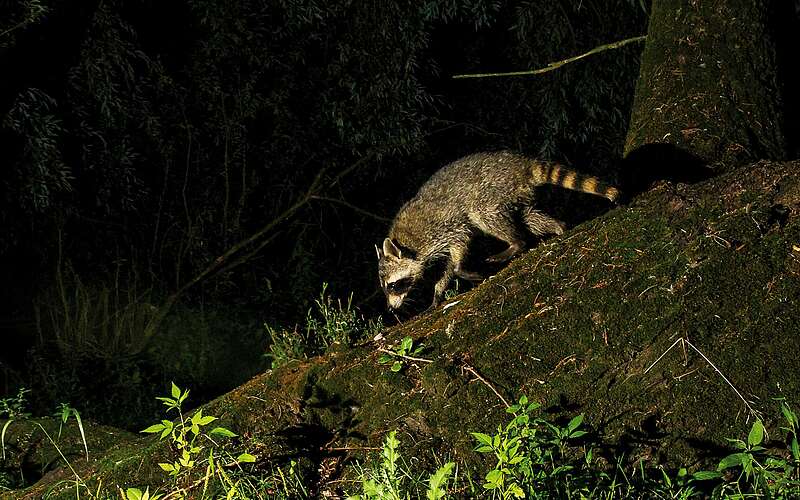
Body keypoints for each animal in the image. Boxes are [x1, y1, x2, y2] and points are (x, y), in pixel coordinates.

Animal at [376, 150, 620, 310]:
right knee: (528, 217)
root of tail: (522, 165)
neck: (407, 243)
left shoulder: (445, 227)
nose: (391, 309)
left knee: (484, 213)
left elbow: (459, 246)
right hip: (515, 192)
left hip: (492, 188)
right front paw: (437, 292)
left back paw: (516, 243)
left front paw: (459, 270)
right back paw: (558, 227)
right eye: (386, 288)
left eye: (393, 285)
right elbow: (444, 269)